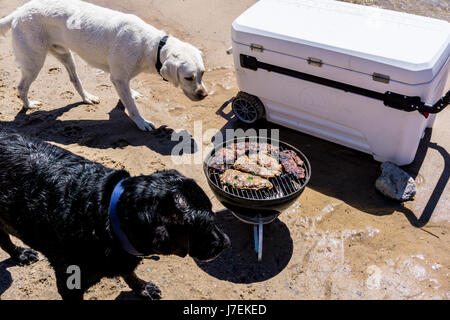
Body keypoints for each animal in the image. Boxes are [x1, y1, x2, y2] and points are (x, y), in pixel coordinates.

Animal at [0, 0, 207, 131]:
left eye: (203, 73)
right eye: (188, 78)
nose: (204, 95)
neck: (152, 45)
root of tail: (18, 12)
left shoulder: (121, 77)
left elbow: (127, 94)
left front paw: (132, 93)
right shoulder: (118, 78)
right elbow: (132, 107)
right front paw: (142, 123)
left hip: (66, 56)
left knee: (75, 80)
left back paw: (87, 98)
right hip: (34, 62)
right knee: (21, 87)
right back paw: (28, 104)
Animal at [0, 130, 230, 300]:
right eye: (205, 224)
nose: (226, 243)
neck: (106, 217)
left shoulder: (125, 255)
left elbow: (129, 272)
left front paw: (142, 288)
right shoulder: (69, 283)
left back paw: (19, 255)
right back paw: (20, 254)